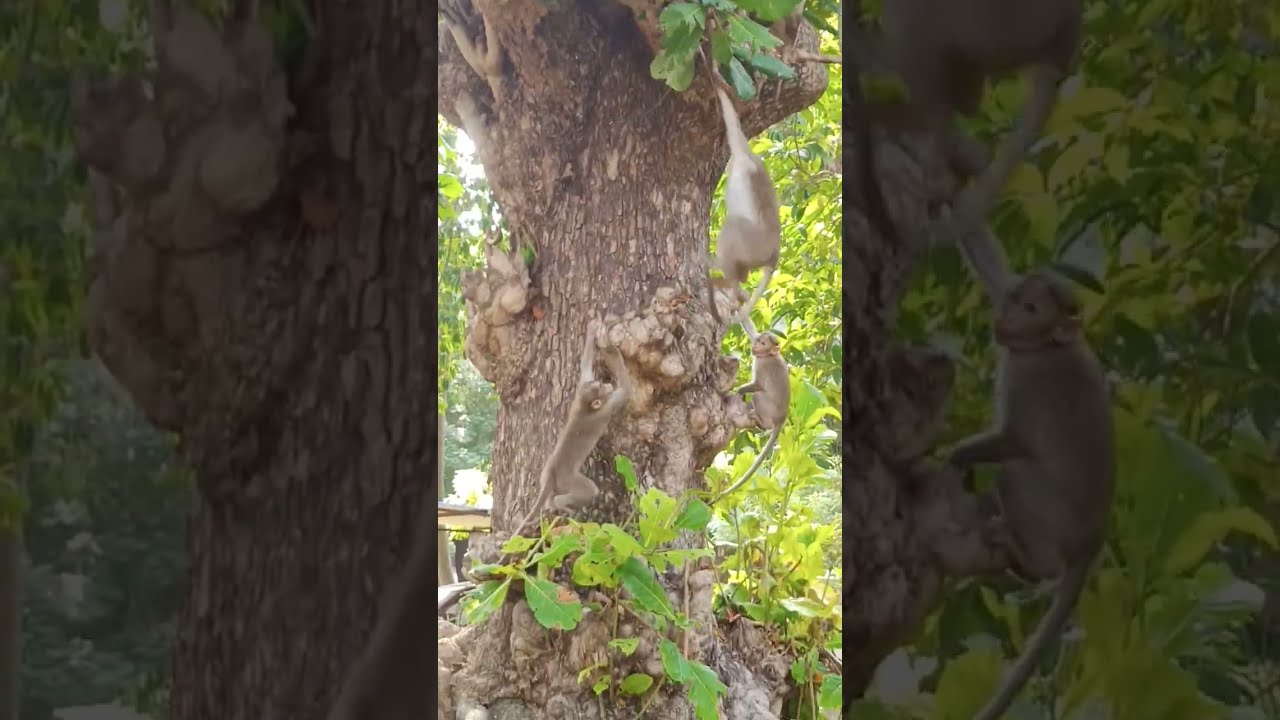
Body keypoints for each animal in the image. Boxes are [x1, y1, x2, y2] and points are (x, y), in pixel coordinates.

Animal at [513, 320, 633, 533]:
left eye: (599, 383)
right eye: (601, 388)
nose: (607, 385)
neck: (587, 408)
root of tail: (552, 474)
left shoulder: (581, 389)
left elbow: (585, 365)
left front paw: (593, 331)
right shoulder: (608, 407)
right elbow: (626, 390)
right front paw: (611, 351)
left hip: (545, 475)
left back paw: (550, 504)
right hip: (570, 482)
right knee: (589, 491)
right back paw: (561, 504)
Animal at [702, 61, 782, 327]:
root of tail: (774, 254)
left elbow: (730, 114)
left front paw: (715, 77)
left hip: (752, 244)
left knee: (733, 225)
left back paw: (722, 274)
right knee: (744, 275)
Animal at [710, 318, 790, 504]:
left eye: (764, 344)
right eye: (759, 340)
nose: (756, 346)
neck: (769, 355)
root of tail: (782, 419)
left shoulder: (763, 366)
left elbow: (758, 385)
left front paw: (740, 391)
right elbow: (749, 326)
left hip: (768, 409)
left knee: (759, 395)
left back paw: (761, 421)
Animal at [945, 270, 1114, 720]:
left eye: (1032, 308)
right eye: (1017, 296)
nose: (1007, 317)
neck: (1052, 345)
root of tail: (1092, 544)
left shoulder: (1026, 379)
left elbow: (1015, 441)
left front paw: (956, 457)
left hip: (1058, 519)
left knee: (1016, 474)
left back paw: (1035, 562)